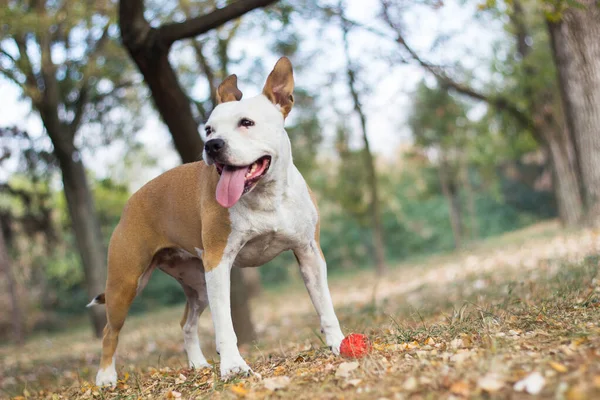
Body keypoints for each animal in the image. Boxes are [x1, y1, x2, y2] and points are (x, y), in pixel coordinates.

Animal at [86, 57, 344, 386]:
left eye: (246, 123)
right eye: (208, 129)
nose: (213, 145)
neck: (266, 195)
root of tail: (131, 201)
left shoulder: (309, 253)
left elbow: (325, 306)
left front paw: (338, 343)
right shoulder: (219, 264)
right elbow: (225, 325)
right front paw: (233, 367)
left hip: (197, 286)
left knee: (186, 323)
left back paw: (197, 364)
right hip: (126, 282)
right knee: (110, 331)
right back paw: (106, 377)